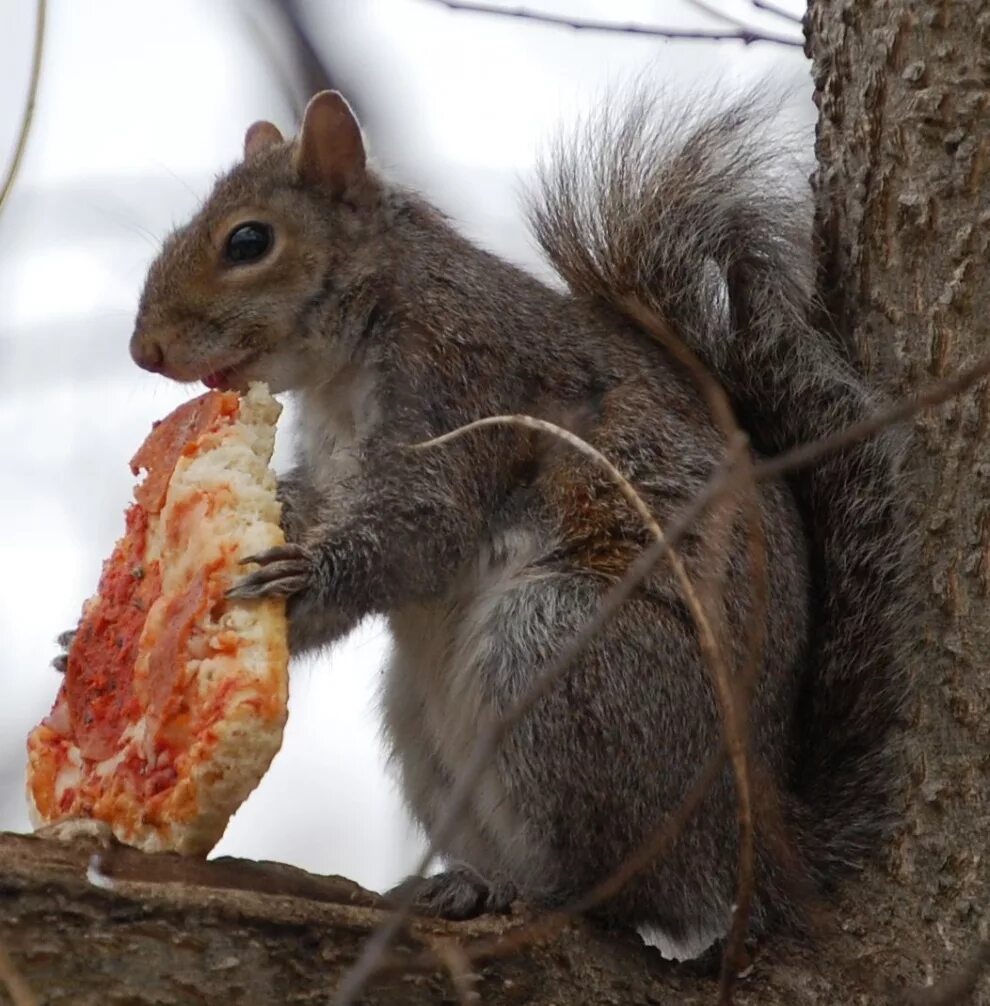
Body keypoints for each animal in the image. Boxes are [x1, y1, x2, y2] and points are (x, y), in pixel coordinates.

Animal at [129, 86, 905, 949]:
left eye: (249, 241)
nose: (143, 348)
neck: (366, 330)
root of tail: (754, 847)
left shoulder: (462, 387)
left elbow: (417, 534)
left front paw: (296, 582)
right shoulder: (337, 459)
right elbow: (324, 508)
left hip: (562, 658)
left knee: (616, 894)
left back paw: (517, 891)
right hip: (426, 723)